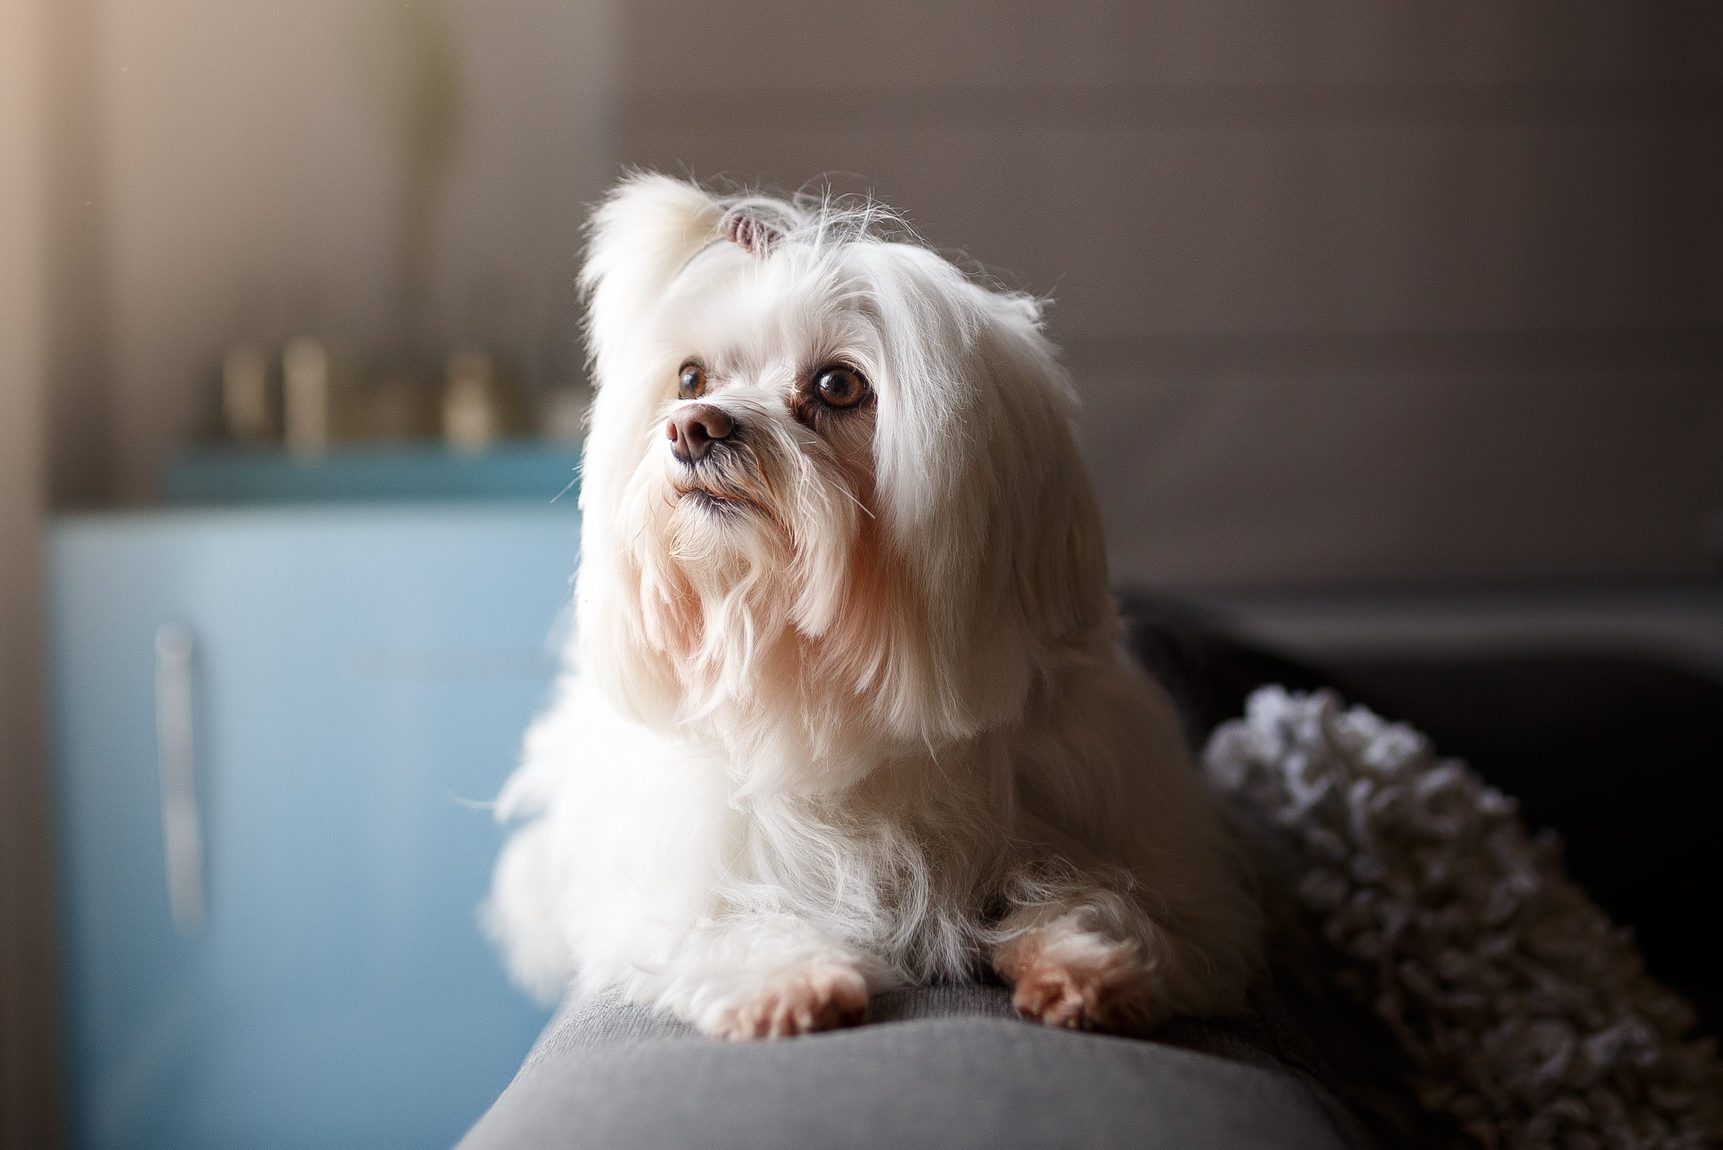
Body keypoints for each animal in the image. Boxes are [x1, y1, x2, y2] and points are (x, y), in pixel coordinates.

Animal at [485, 173, 1254, 1041]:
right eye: (689, 379)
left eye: (837, 385)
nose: (692, 427)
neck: (827, 690)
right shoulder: (672, 873)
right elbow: (714, 915)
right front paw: (786, 977)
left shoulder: (1146, 844)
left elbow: (1113, 896)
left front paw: (1087, 960)